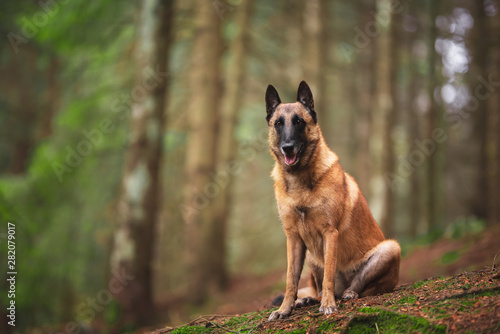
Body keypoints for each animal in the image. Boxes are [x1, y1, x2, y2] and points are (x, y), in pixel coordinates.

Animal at [266, 81, 402, 320]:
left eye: (299, 122)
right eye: (278, 123)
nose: (288, 147)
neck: (300, 180)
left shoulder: (330, 233)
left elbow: (329, 273)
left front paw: (328, 305)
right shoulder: (293, 238)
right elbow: (291, 279)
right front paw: (284, 309)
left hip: (390, 248)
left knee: (362, 286)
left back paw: (347, 293)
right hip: (312, 257)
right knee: (317, 289)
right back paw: (308, 299)